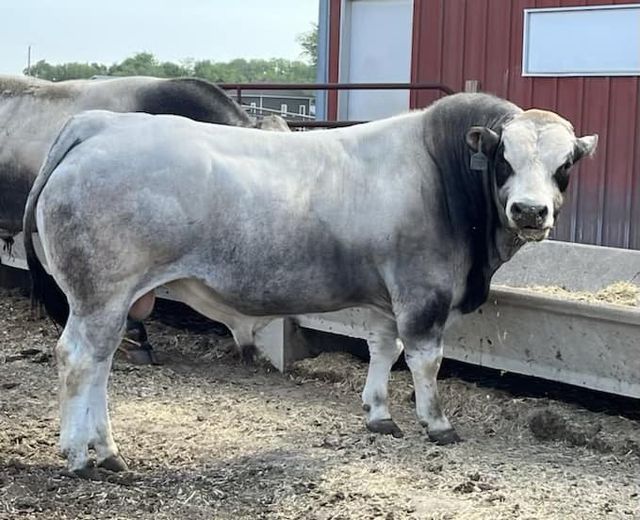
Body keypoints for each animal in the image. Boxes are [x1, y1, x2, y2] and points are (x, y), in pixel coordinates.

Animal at [23, 92, 597, 474]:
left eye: (565, 164)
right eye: (505, 159)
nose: (529, 211)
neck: (441, 175)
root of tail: (99, 124)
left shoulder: (385, 298)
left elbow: (383, 350)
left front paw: (379, 415)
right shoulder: (422, 293)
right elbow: (425, 361)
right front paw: (437, 425)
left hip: (113, 300)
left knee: (100, 365)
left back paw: (104, 452)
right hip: (101, 293)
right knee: (80, 360)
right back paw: (83, 457)